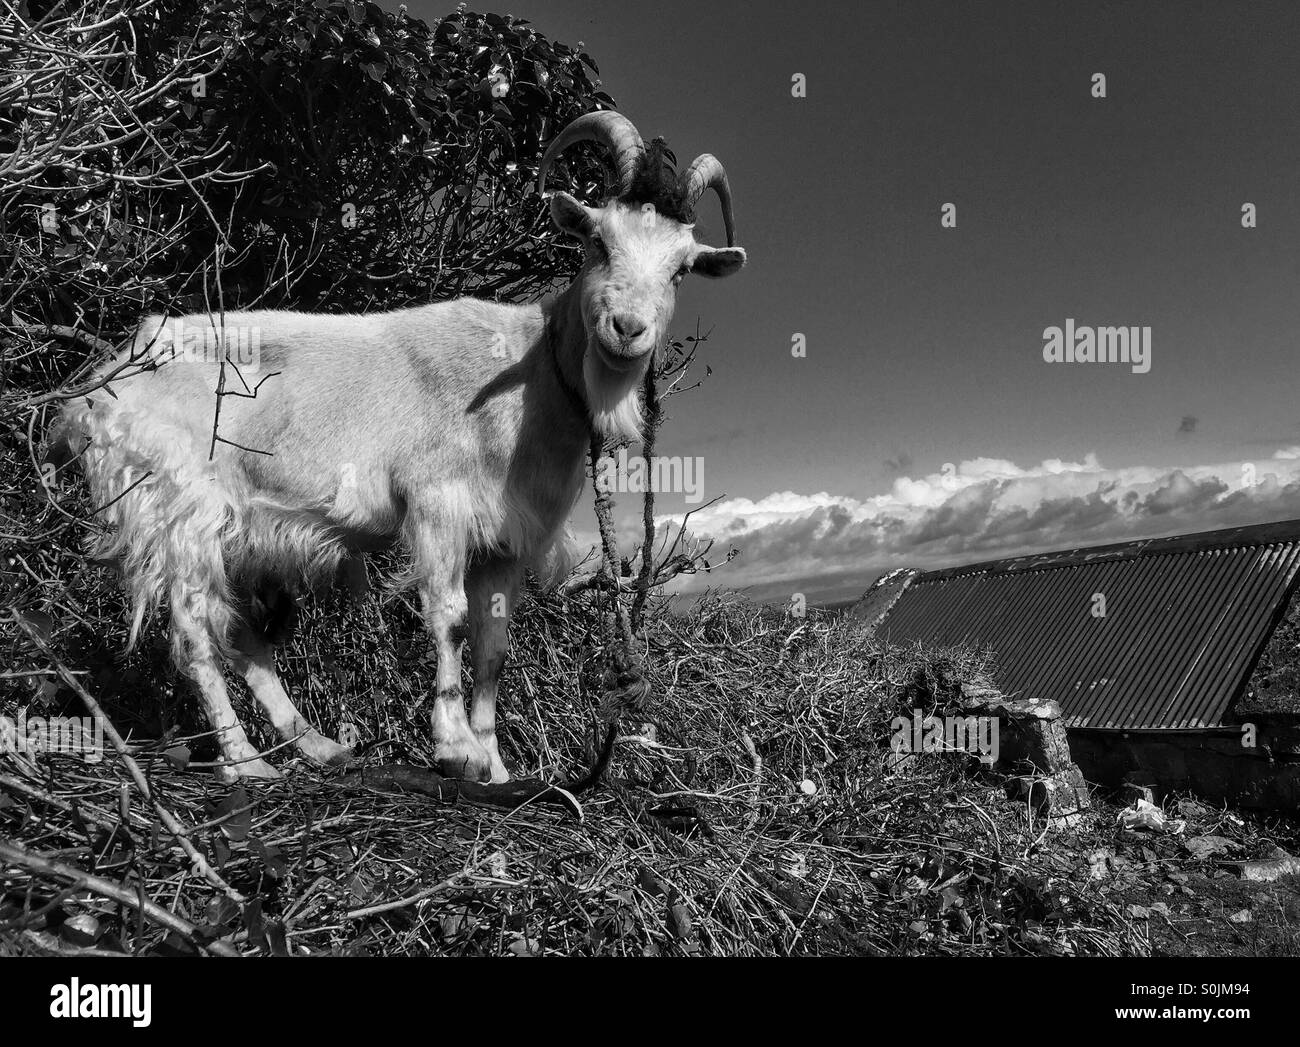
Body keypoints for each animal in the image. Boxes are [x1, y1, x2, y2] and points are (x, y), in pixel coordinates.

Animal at [50, 112, 746, 783]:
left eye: (681, 268)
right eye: (599, 241)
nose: (628, 330)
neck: (532, 370)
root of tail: (96, 389)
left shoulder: (507, 537)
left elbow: (494, 642)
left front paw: (495, 765)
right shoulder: (438, 501)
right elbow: (449, 615)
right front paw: (456, 748)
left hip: (240, 528)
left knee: (244, 635)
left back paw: (320, 747)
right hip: (177, 504)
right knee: (193, 627)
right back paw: (245, 761)